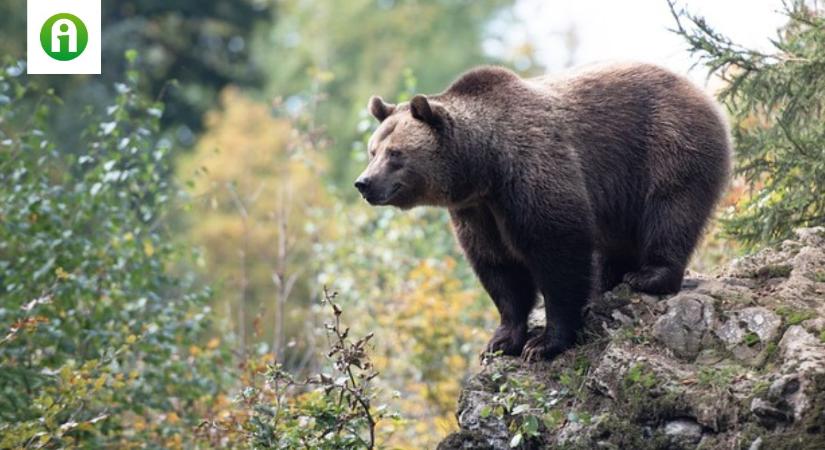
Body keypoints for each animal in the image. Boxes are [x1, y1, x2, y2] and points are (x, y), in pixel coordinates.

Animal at [354, 63, 728, 360]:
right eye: (373, 150)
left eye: (396, 153)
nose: (364, 183)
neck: (484, 167)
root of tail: (702, 92)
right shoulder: (477, 211)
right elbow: (499, 268)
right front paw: (501, 340)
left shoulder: (532, 171)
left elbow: (558, 250)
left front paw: (545, 343)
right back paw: (608, 280)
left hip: (667, 145)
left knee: (671, 210)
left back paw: (649, 276)